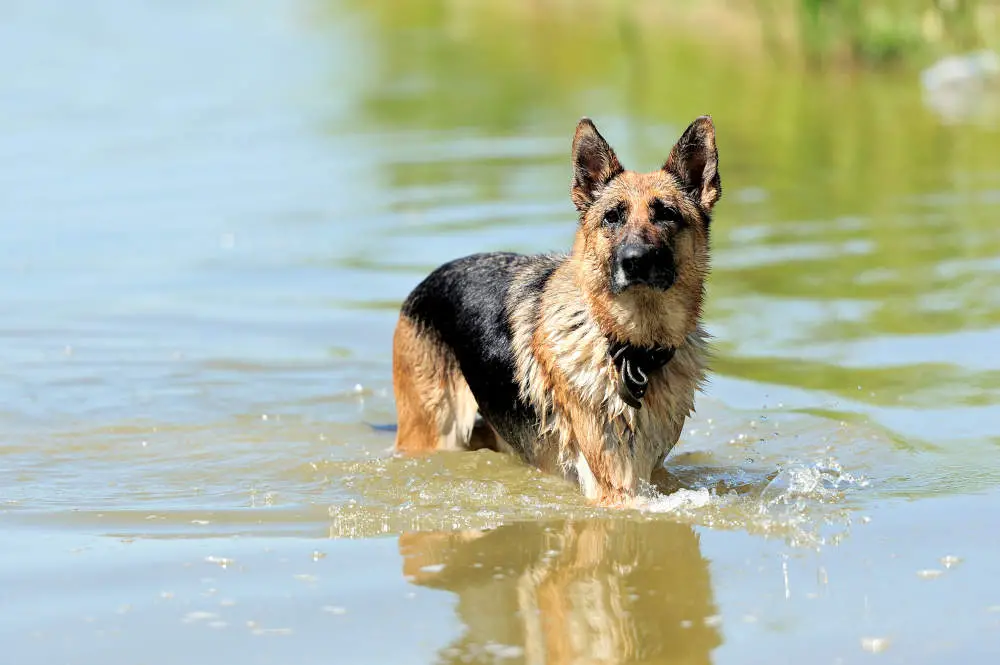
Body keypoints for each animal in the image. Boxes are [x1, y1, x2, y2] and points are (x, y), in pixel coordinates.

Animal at [388, 116, 720, 506]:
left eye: (666, 214)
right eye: (612, 217)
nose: (634, 260)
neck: (630, 350)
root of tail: (426, 281)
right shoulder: (613, 488)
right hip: (434, 431)